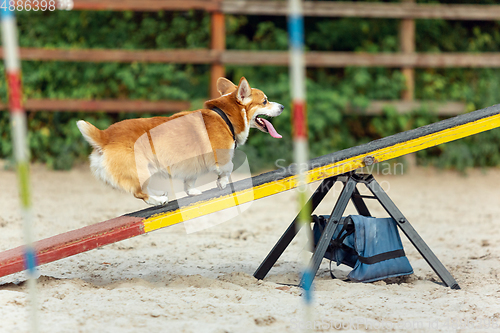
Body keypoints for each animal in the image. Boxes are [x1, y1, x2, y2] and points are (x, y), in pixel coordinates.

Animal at [76, 77, 284, 205]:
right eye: (265, 101)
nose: (282, 106)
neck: (225, 116)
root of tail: (103, 135)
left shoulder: (192, 163)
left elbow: (190, 181)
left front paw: (192, 192)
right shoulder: (220, 158)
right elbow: (228, 168)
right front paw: (222, 183)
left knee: (143, 188)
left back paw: (159, 194)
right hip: (140, 168)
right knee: (139, 192)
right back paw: (158, 200)